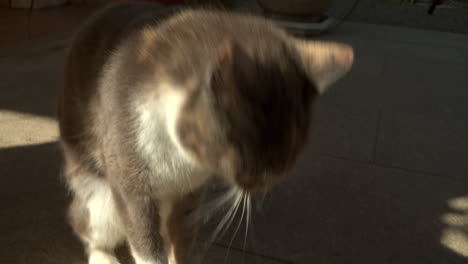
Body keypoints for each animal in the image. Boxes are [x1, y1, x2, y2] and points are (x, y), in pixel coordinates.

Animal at [57, 2, 352, 264]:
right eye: (248, 160)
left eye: (292, 157)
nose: (264, 184)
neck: (181, 159)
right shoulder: (130, 172)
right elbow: (145, 240)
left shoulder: (190, 192)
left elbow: (184, 236)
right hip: (98, 200)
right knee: (85, 224)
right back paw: (103, 256)